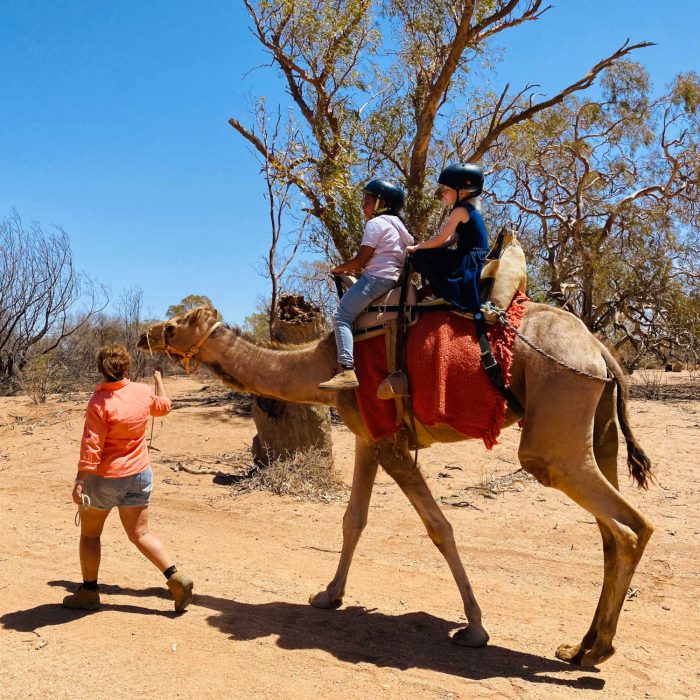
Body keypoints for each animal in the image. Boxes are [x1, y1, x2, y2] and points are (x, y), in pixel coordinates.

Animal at [139, 304, 652, 668]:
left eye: (177, 324)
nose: (146, 334)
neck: (323, 369)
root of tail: (599, 351)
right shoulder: (368, 437)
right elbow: (354, 519)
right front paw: (329, 595)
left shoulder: (390, 443)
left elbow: (440, 528)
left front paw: (474, 629)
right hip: (597, 427)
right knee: (615, 532)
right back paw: (580, 648)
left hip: (556, 418)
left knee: (626, 526)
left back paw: (598, 649)